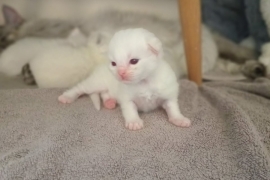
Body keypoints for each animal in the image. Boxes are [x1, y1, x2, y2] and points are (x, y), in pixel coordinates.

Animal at [58, 27, 191, 130]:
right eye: (114, 63)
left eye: (134, 61)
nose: (120, 73)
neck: (144, 81)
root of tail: (99, 66)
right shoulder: (127, 98)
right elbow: (130, 109)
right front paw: (134, 122)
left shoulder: (168, 94)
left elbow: (173, 108)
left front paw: (179, 119)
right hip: (96, 82)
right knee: (80, 88)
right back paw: (67, 96)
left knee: (104, 93)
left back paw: (109, 102)